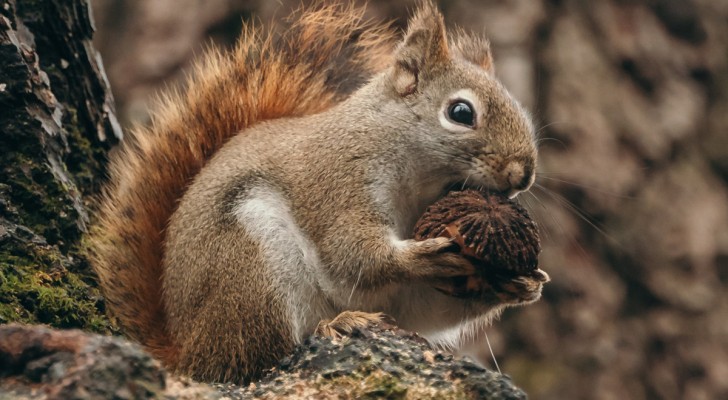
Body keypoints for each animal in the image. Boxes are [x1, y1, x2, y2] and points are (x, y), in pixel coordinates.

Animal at [88, 2, 544, 384]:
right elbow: (352, 254)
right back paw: (336, 324)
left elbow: (419, 307)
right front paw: (420, 257)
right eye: (461, 112)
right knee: (257, 358)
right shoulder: (337, 184)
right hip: (250, 266)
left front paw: (518, 285)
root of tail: (185, 351)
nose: (522, 175)